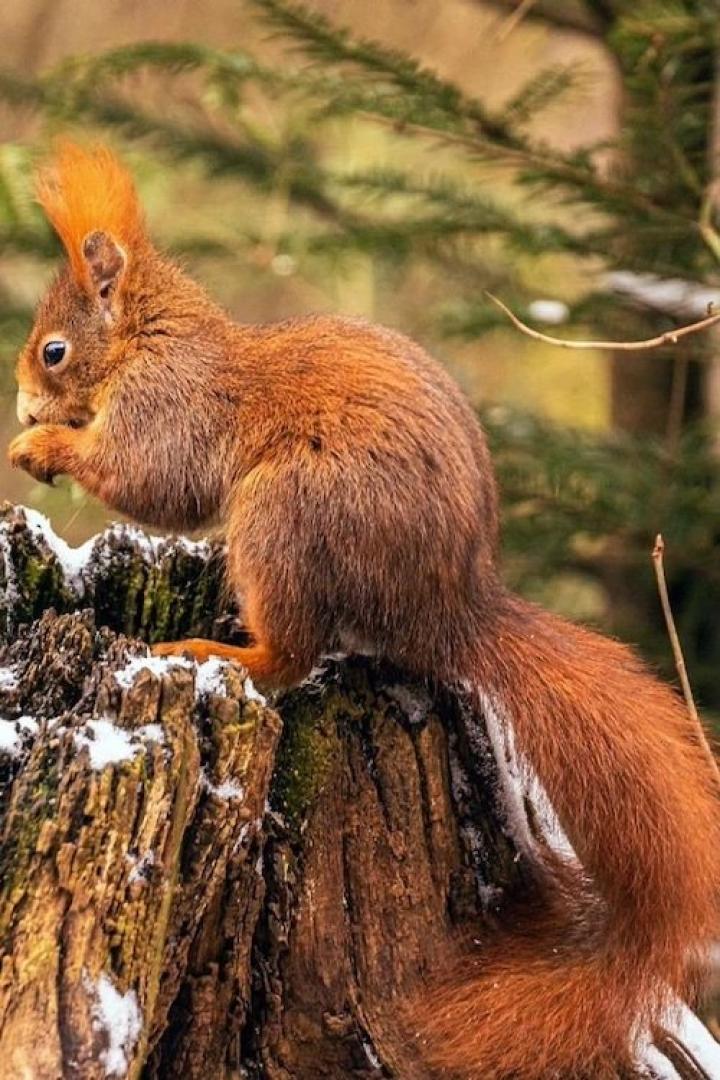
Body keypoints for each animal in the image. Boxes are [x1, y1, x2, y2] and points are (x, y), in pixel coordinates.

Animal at [8, 141, 720, 1078]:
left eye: (53, 350)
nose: (22, 403)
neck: (149, 341)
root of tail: (449, 611)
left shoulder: (169, 409)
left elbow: (151, 480)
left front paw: (43, 444)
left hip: (285, 516)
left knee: (294, 657)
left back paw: (223, 653)